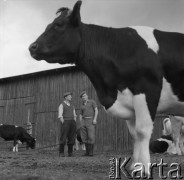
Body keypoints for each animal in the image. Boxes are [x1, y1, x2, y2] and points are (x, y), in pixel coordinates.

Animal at [28, 0, 184, 176]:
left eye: (58, 24)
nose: (32, 47)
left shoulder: (146, 91)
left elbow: (142, 131)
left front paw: (144, 169)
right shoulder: (128, 101)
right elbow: (134, 135)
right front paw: (134, 166)